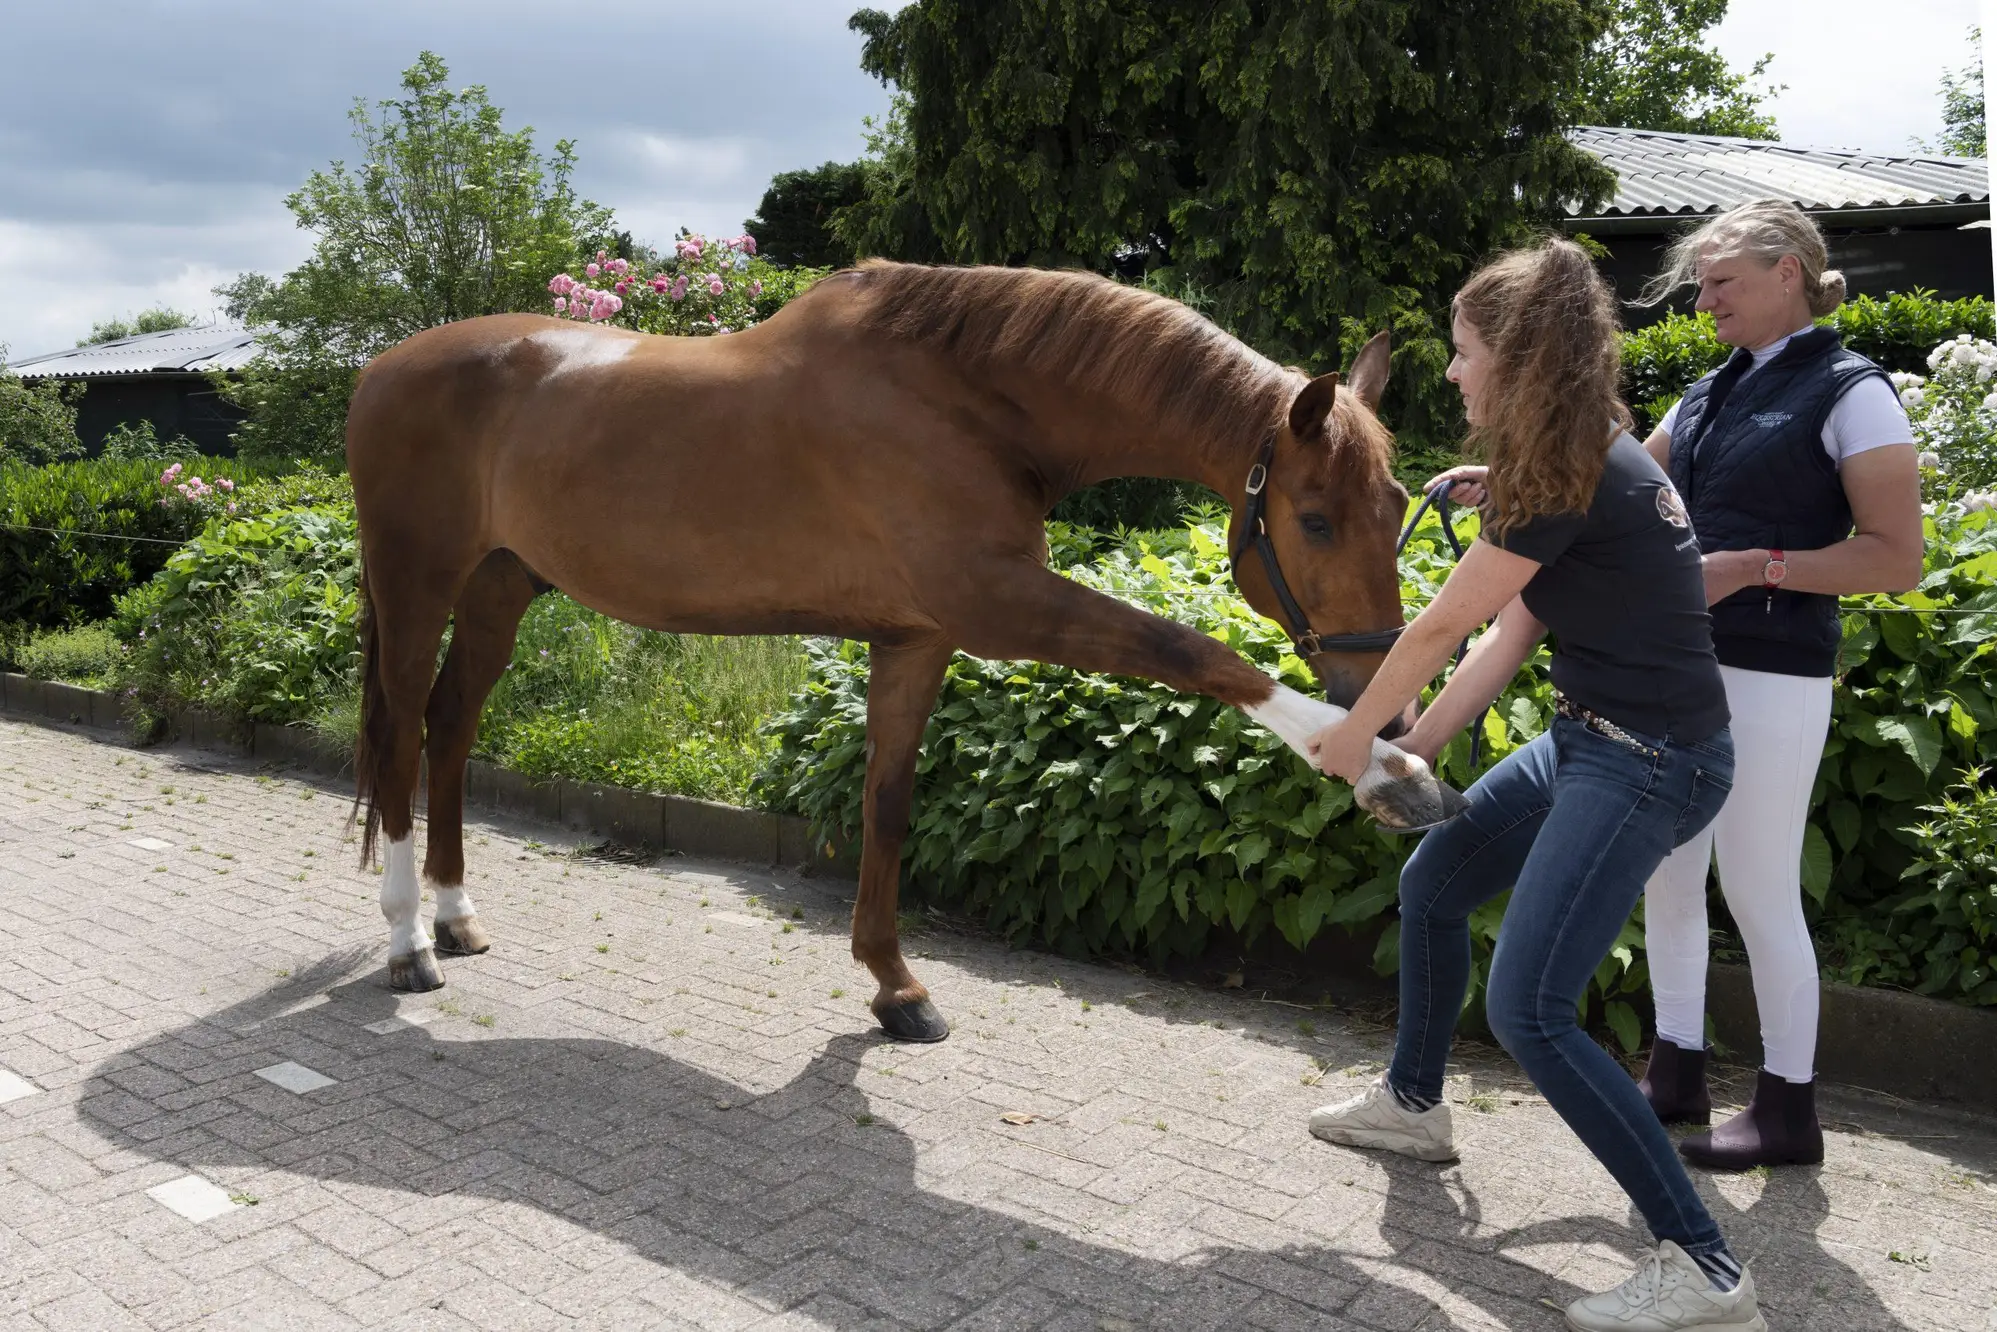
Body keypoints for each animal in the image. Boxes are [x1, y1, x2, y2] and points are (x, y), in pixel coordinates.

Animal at [344, 260, 1465, 1043]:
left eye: (1396, 505)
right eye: (1313, 520)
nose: (1386, 689)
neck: (961, 400)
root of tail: (380, 369)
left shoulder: (917, 638)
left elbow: (887, 804)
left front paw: (896, 987)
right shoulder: (997, 606)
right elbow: (1197, 653)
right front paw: (1384, 771)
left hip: (500, 589)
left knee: (450, 729)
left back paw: (456, 916)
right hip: (415, 585)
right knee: (401, 741)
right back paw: (406, 943)